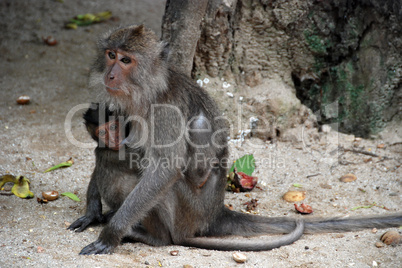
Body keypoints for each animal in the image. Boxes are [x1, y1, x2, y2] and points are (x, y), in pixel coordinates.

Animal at [67, 25, 400, 255]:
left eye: (126, 60)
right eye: (111, 55)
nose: (110, 75)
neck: (148, 93)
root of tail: (215, 213)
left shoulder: (165, 114)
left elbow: (164, 169)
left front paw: (111, 234)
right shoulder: (119, 105)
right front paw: (92, 211)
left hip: (187, 212)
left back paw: (153, 237)